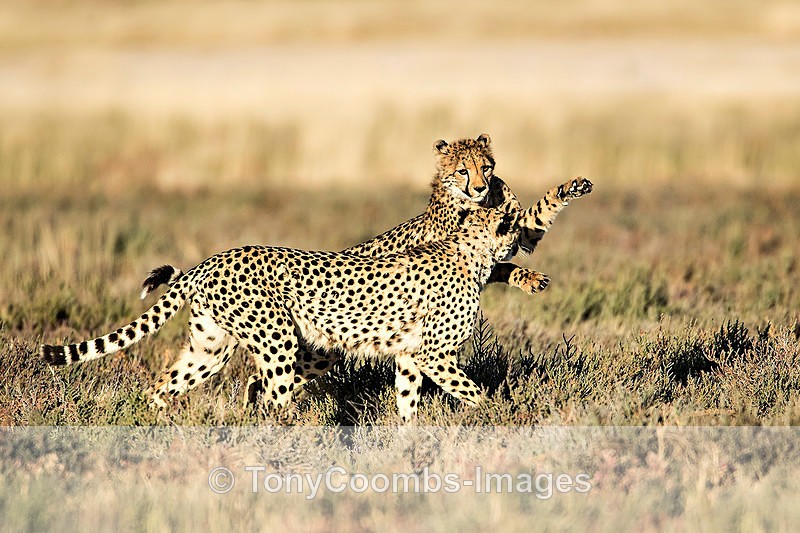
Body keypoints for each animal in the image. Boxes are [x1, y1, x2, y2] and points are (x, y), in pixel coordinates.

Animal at [42, 203, 535, 422]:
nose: (526, 241)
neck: (471, 252)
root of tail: (208, 262)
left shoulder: (411, 354)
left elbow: (407, 400)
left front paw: (408, 438)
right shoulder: (433, 354)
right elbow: (474, 392)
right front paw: (501, 416)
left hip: (209, 349)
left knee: (164, 385)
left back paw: (156, 425)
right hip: (277, 340)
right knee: (275, 399)